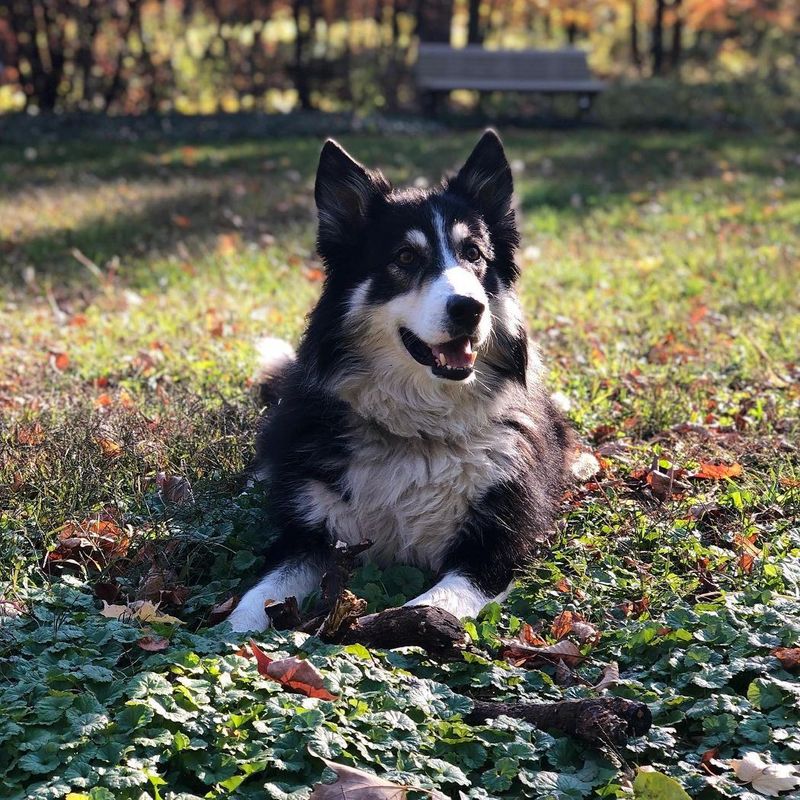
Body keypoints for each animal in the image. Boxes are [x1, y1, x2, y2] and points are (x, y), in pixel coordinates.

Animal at [228, 130, 580, 632]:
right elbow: (254, 599)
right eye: (406, 257)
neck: (420, 430)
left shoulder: (496, 544)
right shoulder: (308, 538)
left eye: (474, 254)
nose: (470, 309)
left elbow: (436, 601)